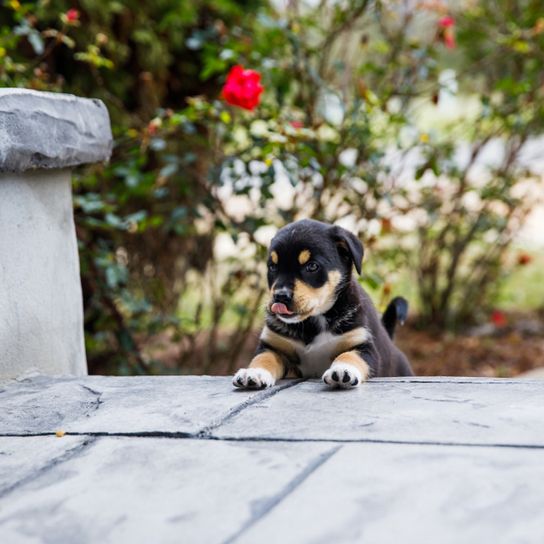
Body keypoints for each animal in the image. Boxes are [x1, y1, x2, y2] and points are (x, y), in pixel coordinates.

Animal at [232, 219, 414, 388]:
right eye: (272, 267)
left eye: (312, 266)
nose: (280, 296)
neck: (313, 323)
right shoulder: (273, 346)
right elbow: (263, 358)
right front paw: (253, 373)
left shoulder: (364, 348)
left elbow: (349, 356)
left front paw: (342, 371)